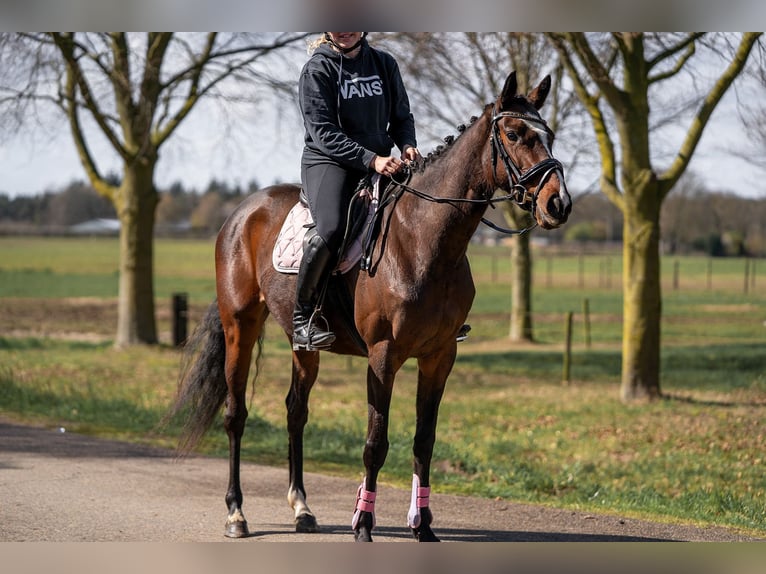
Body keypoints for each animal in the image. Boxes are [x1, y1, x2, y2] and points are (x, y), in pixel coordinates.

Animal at [168, 71, 571, 542]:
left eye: (549, 135)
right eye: (513, 134)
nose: (558, 204)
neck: (423, 239)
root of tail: (241, 212)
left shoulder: (439, 357)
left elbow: (423, 441)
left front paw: (423, 526)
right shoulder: (383, 356)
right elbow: (375, 443)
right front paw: (363, 523)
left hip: (303, 345)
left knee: (295, 412)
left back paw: (302, 508)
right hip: (240, 327)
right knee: (235, 414)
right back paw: (236, 514)